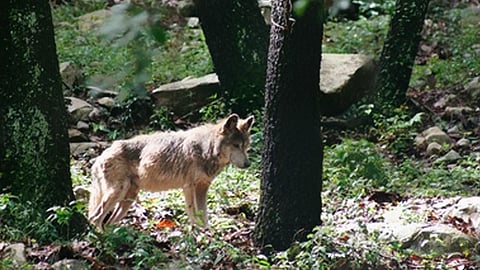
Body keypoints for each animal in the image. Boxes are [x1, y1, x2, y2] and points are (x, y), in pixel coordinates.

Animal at [89, 113, 255, 229]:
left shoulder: (199, 187)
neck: (206, 149)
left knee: (107, 221)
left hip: (128, 199)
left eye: (246, 146)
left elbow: (201, 215)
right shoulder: (191, 187)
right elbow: (197, 215)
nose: (248, 164)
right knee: (95, 218)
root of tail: (100, 156)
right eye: (236, 145)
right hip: (118, 192)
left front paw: (205, 233)